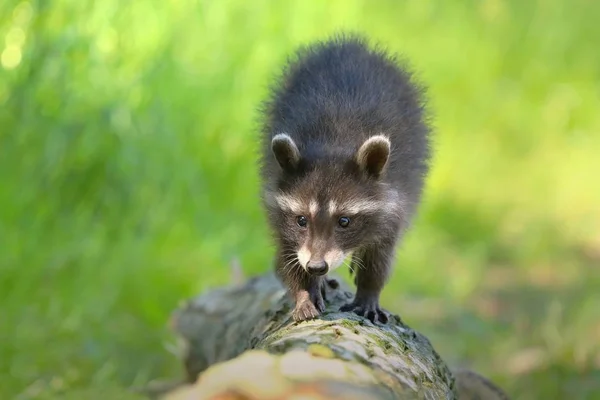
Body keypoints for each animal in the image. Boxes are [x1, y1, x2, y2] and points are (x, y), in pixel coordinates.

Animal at [258, 32, 432, 324]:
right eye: (301, 220)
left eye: (344, 221)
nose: (317, 266)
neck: (333, 145)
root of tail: (353, 45)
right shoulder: (278, 207)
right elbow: (289, 255)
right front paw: (304, 292)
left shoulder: (394, 199)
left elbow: (380, 257)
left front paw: (368, 291)